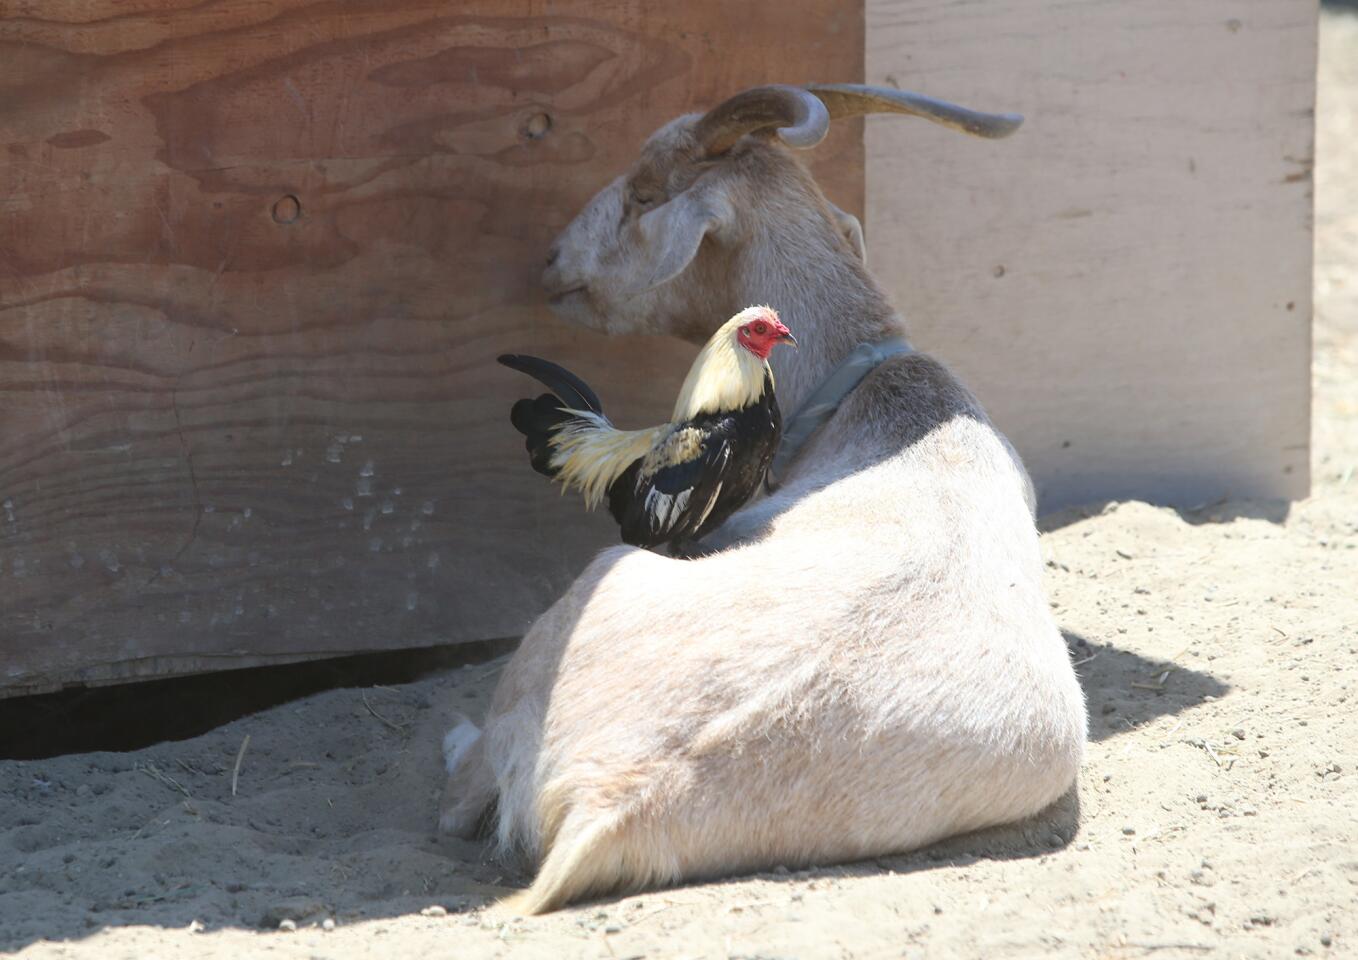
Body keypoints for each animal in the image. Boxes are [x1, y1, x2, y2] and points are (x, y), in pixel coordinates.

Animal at [439, 84, 1086, 917]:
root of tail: (617, 798)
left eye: (645, 194)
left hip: (601, 578)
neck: (874, 395)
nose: (550, 263)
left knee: (463, 795)